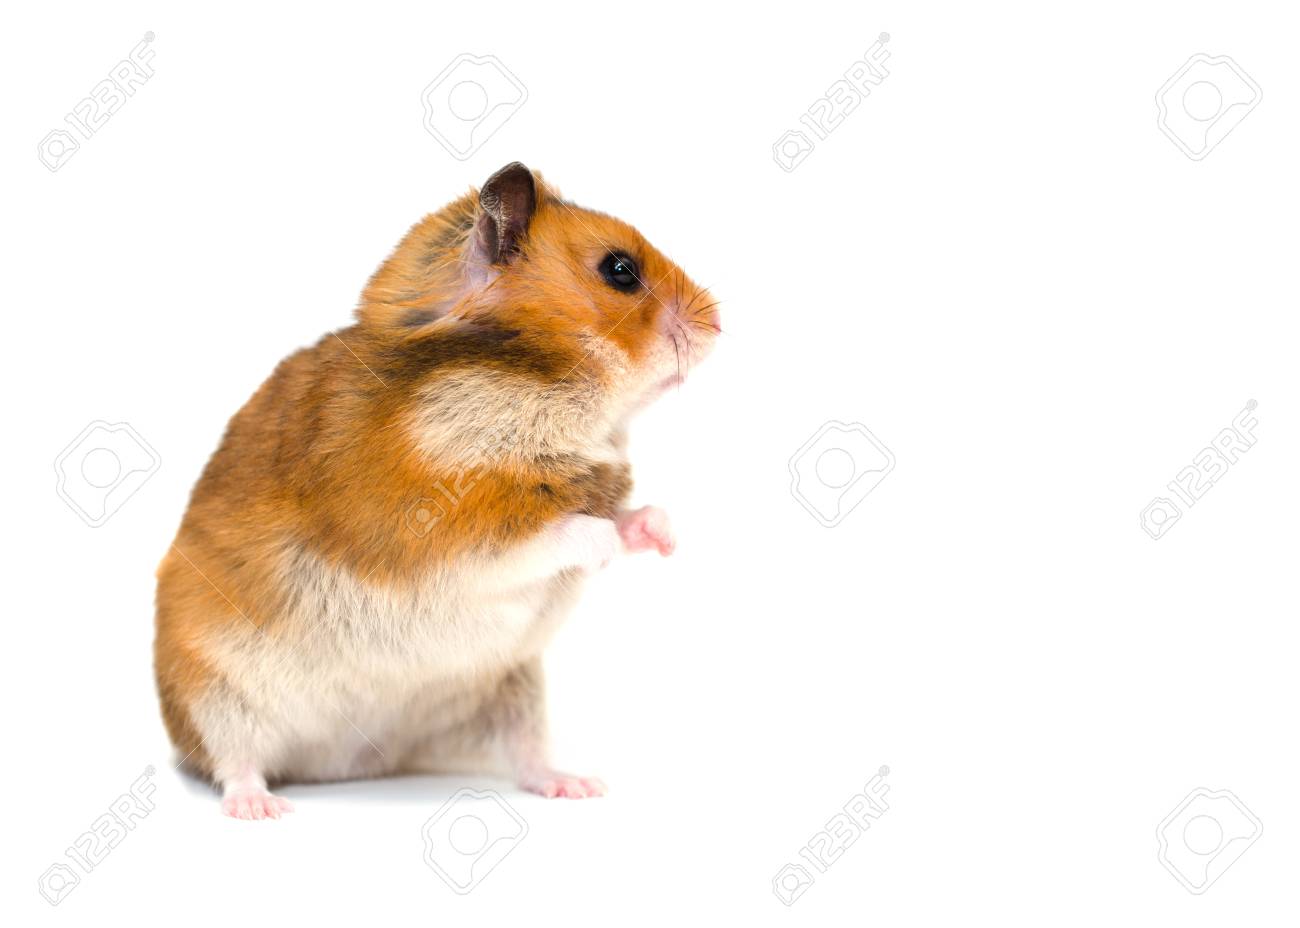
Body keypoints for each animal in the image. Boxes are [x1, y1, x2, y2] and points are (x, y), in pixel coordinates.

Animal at [154, 162, 720, 819]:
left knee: (526, 754)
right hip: (216, 694)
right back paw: (261, 808)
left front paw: (666, 535)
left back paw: (576, 785)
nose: (720, 323)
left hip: (511, 689)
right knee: (235, 761)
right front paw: (602, 542)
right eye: (620, 270)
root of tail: (344, 764)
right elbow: (556, 534)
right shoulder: (441, 532)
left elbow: (623, 517)